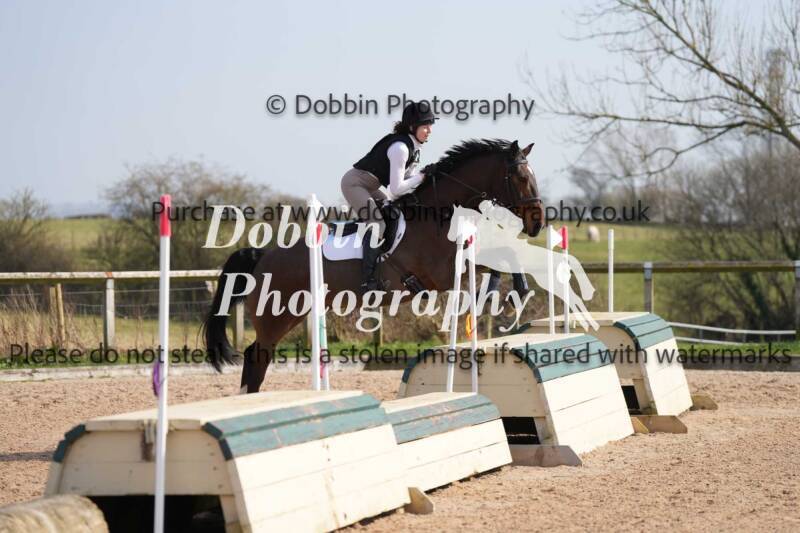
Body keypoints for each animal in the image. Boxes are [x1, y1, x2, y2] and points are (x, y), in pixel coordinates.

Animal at [203, 138, 545, 393]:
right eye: (521, 178)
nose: (537, 223)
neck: (438, 212)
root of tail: (263, 255)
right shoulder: (444, 275)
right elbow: (494, 263)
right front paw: (507, 293)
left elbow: (504, 257)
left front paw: (513, 292)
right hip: (276, 315)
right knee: (256, 357)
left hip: (294, 311)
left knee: (256, 358)